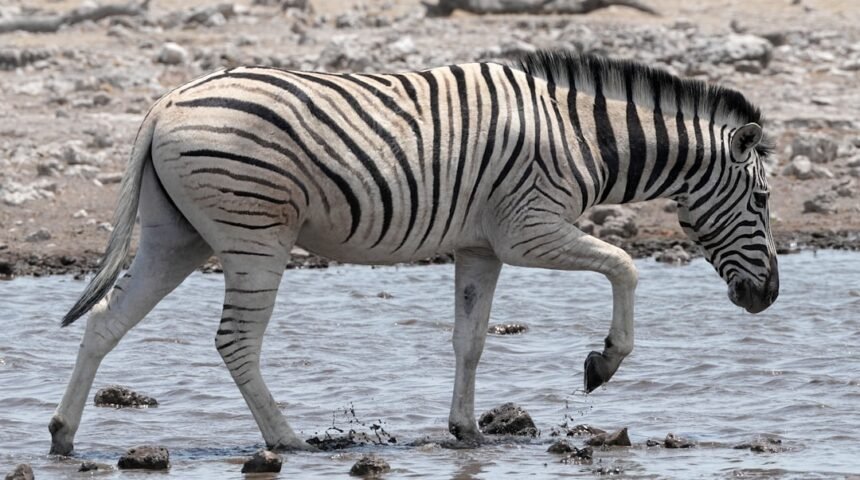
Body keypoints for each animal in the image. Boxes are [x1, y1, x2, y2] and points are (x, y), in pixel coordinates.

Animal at [49, 50, 779, 455]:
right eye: (765, 201)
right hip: (256, 235)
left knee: (105, 323)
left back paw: (63, 435)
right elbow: (625, 266)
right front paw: (602, 363)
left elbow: (470, 339)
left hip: (177, 237)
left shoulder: (481, 247)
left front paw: (467, 431)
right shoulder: (529, 231)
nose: (767, 297)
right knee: (234, 341)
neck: (582, 137)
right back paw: (285, 440)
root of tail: (166, 102)